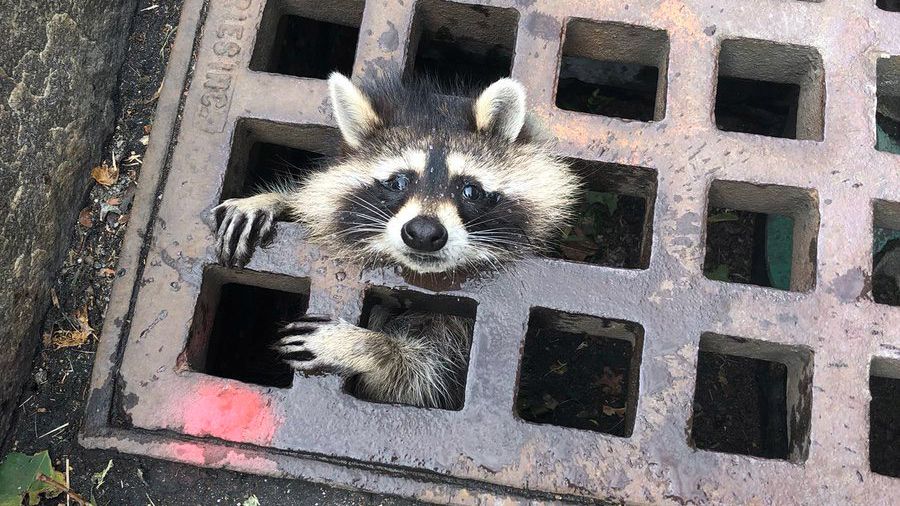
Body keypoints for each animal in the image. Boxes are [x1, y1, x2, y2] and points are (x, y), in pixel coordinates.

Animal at [214, 73, 580, 410]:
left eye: (470, 190)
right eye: (398, 182)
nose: (424, 233)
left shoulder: (454, 340)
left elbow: (418, 376)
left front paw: (367, 347)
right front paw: (274, 199)